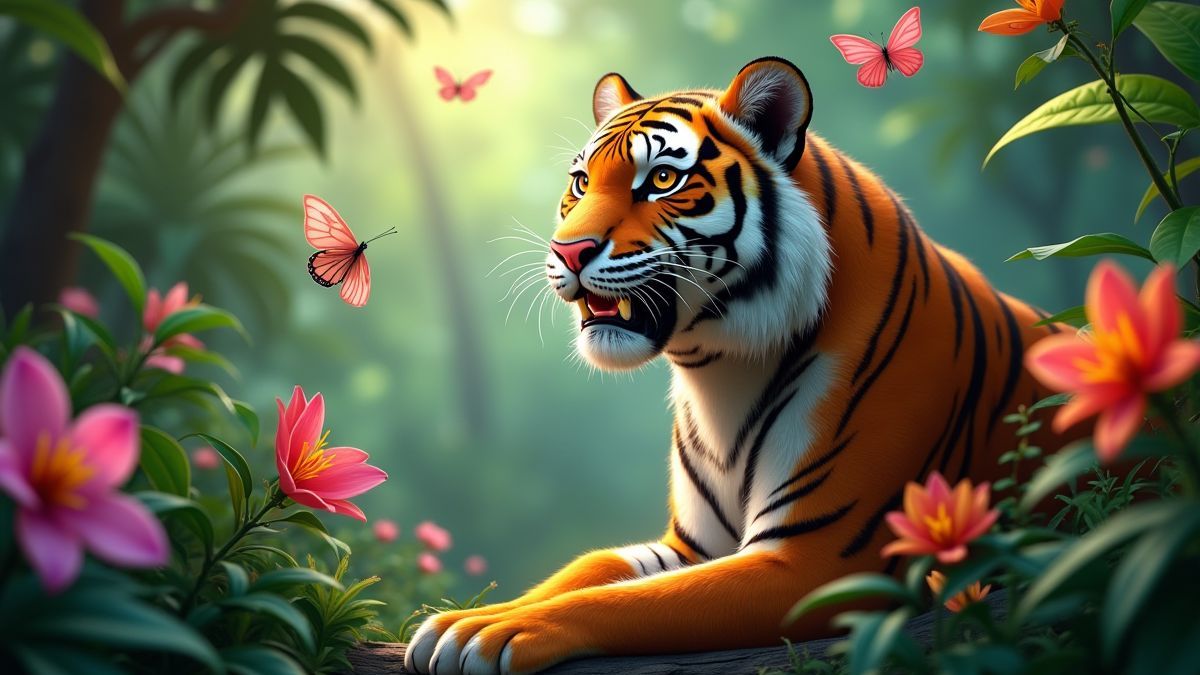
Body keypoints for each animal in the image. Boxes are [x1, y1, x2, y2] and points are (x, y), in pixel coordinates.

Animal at [405, 56, 1079, 675]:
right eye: (579, 182)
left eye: (663, 179)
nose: (566, 251)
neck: (720, 368)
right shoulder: (691, 543)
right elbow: (594, 566)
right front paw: (460, 619)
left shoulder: (816, 560)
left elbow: (634, 602)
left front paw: (490, 632)